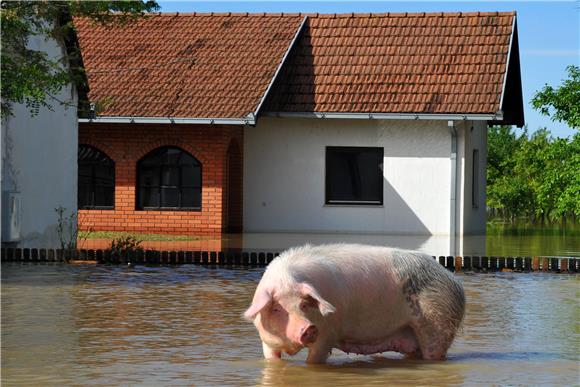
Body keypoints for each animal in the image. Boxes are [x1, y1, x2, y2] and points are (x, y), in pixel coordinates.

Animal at [242, 244, 464, 366]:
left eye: (304, 304)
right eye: (277, 308)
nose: (308, 328)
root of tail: (455, 282)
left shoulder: (327, 333)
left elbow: (314, 359)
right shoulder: (267, 342)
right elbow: (272, 359)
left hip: (438, 325)